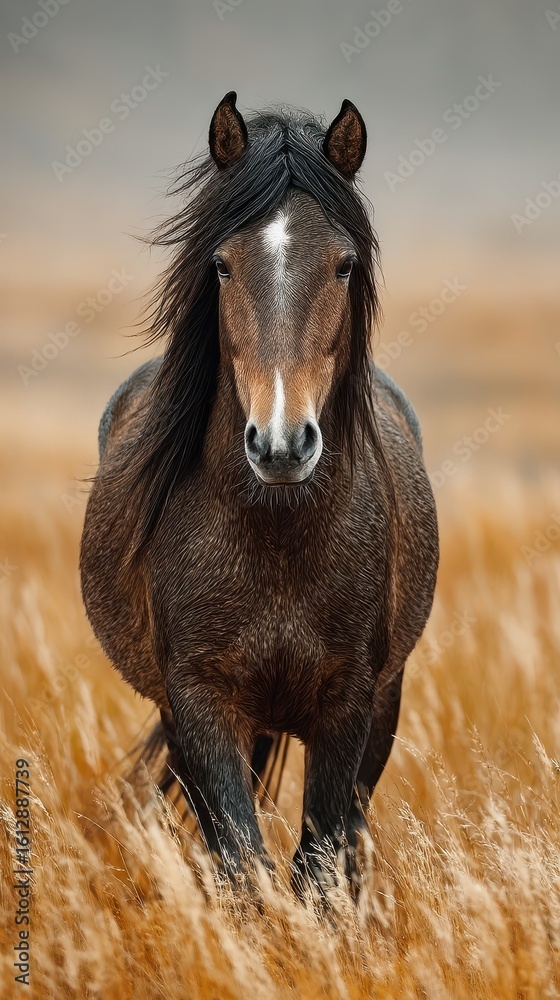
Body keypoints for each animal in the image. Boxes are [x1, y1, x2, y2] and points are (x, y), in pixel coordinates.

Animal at [80, 93, 439, 895]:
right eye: (220, 264)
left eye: (344, 265)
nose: (281, 444)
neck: (276, 538)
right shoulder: (198, 704)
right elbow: (244, 866)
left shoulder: (351, 706)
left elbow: (320, 863)